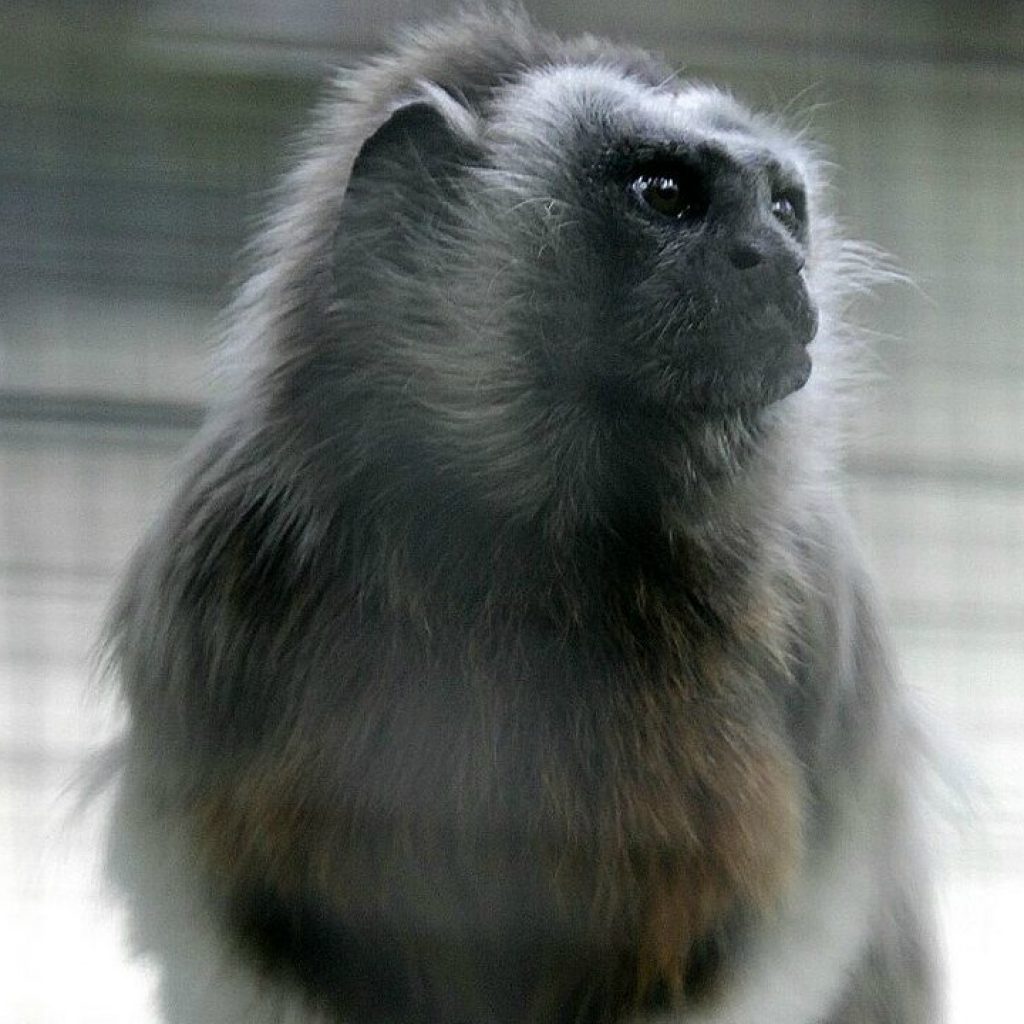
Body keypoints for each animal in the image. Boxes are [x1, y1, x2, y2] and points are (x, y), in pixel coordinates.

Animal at [102, 8, 940, 1024]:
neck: (541, 554)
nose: (779, 263)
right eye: (666, 194)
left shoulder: (819, 604)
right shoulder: (225, 549)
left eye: (782, 208)